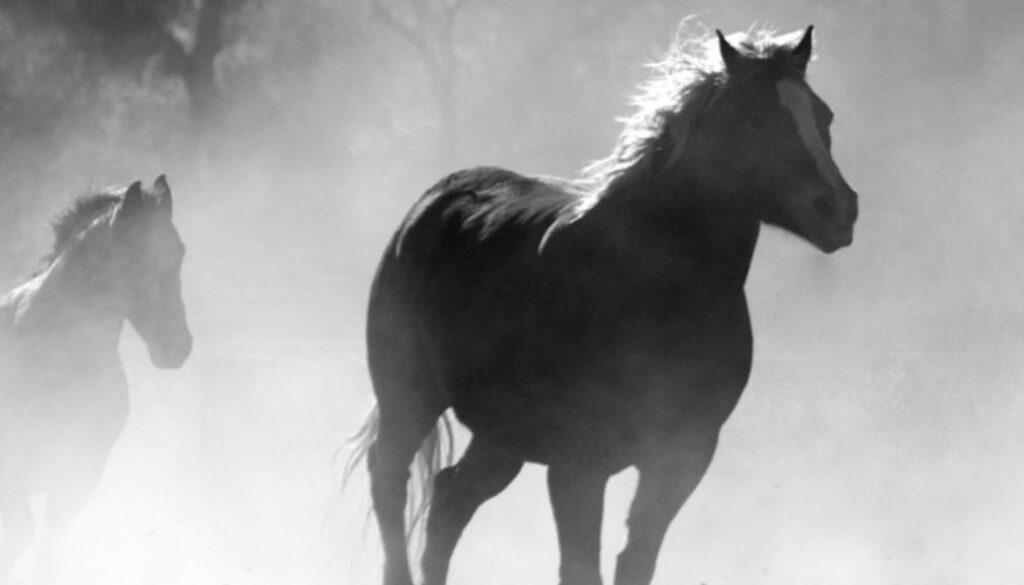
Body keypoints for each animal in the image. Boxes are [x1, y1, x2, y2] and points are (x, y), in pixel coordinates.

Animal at [349, 25, 858, 585]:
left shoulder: (681, 456)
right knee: (389, 479)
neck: (655, 291)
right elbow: (580, 565)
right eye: (755, 120)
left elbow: (636, 560)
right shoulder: (578, 465)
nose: (838, 209)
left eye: (824, 116)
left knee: (449, 499)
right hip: (409, 396)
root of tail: (433, 201)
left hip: (500, 435)